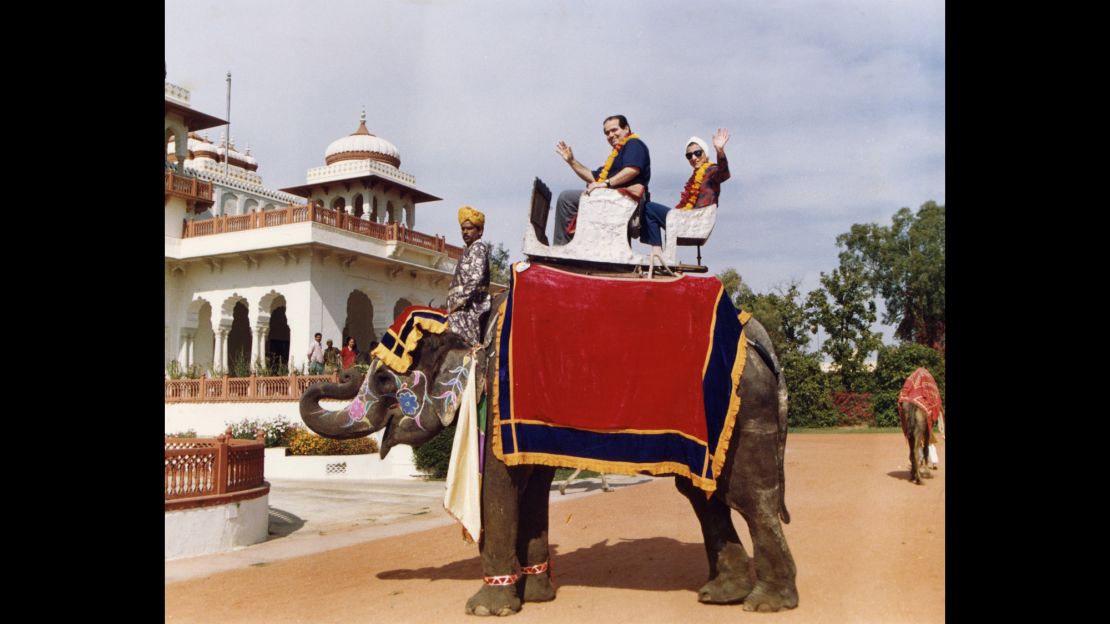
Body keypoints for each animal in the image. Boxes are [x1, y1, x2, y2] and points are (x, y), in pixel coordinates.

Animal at [304, 276, 799, 612]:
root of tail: (756, 334)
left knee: (749, 496)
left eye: (386, 381)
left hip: (744, 409)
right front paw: (538, 595)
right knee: (704, 495)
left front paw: (485, 608)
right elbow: (532, 489)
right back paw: (720, 595)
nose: (339, 369)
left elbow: (497, 489)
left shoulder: (497, 399)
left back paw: (766, 603)